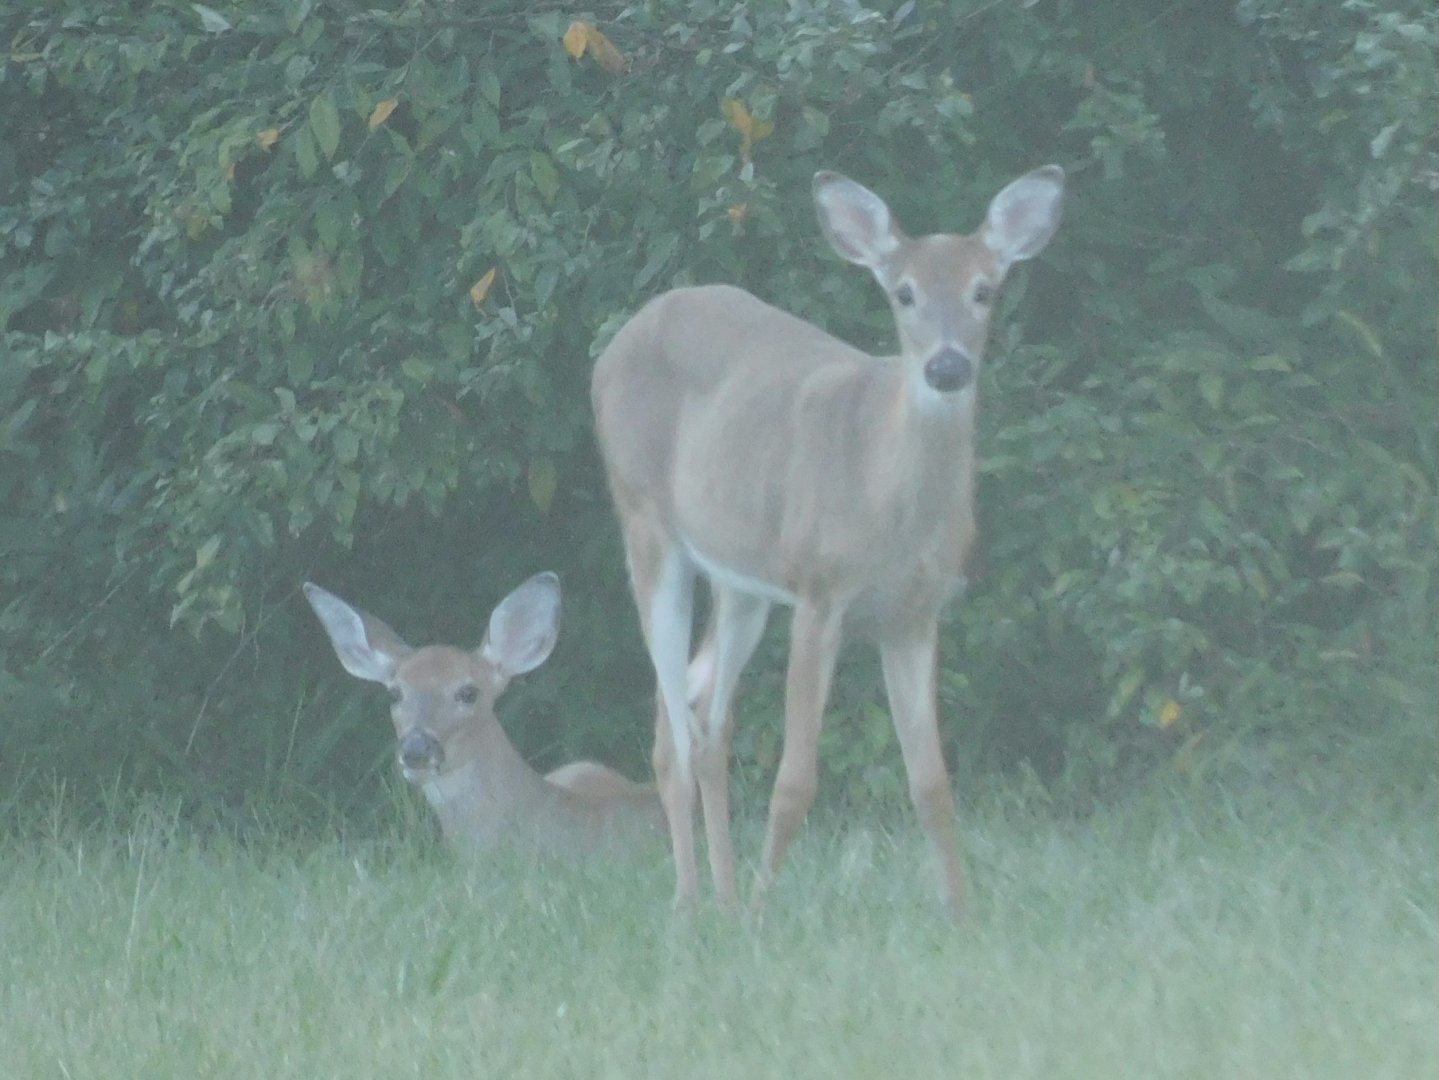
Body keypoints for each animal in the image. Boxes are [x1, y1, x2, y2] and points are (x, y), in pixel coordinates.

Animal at [591, 165, 1065, 918]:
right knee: (672, 732)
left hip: (740, 577)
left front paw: (961, 913)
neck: (884, 495)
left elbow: (931, 781)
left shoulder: (915, 614)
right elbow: (795, 779)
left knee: (704, 718)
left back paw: (722, 900)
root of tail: (614, 344)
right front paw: (764, 912)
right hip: (645, 523)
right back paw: (692, 905)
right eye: (903, 293)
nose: (947, 367)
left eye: (983, 290)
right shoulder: (819, 592)